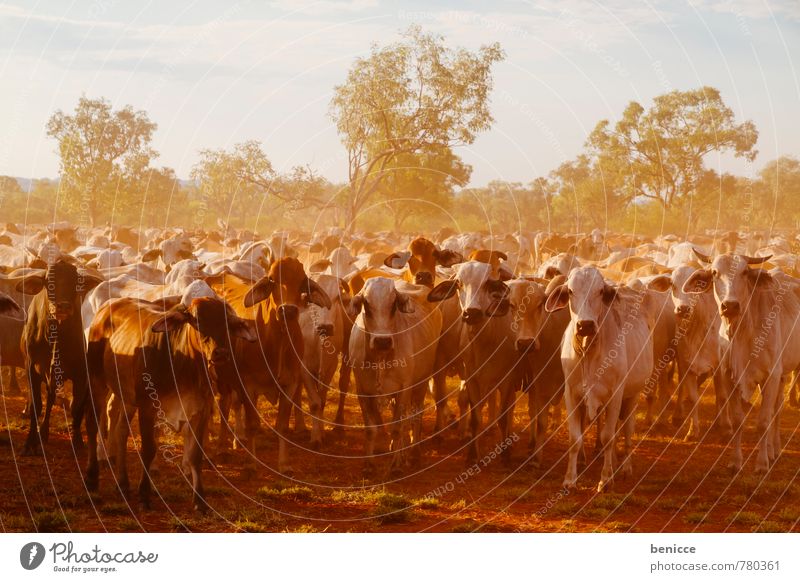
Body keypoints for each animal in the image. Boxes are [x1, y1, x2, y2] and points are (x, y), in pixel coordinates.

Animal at [85, 296, 255, 512]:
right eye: (196, 320)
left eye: (227, 324)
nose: (221, 353)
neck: (184, 363)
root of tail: (109, 304)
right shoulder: (147, 407)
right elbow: (149, 450)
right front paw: (144, 495)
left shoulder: (201, 410)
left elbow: (195, 455)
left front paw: (200, 500)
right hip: (96, 380)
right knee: (92, 424)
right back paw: (92, 478)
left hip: (126, 395)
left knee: (120, 429)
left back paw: (122, 484)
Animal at [348, 278, 440, 474]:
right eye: (366, 304)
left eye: (393, 305)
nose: (382, 341)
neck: (380, 358)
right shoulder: (363, 391)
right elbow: (371, 429)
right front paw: (369, 465)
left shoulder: (404, 388)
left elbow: (397, 427)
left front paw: (395, 466)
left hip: (421, 383)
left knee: (415, 416)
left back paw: (413, 454)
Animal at [548, 268, 652, 492]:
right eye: (570, 291)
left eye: (600, 291)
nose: (585, 325)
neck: (589, 350)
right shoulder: (571, 394)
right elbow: (575, 438)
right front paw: (570, 479)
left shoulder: (616, 395)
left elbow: (609, 437)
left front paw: (605, 480)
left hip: (632, 396)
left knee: (626, 431)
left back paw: (625, 468)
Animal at [680, 252, 800, 474]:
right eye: (714, 272)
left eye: (745, 272)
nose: (730, 306)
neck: (743, 332)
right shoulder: (729, 377)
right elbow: (737, 421)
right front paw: (736, 462)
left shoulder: (771, 376)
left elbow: (763, 421)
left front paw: (761, 464)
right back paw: (771, 450)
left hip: (783, 373)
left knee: (776, 411)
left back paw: (774, 450)